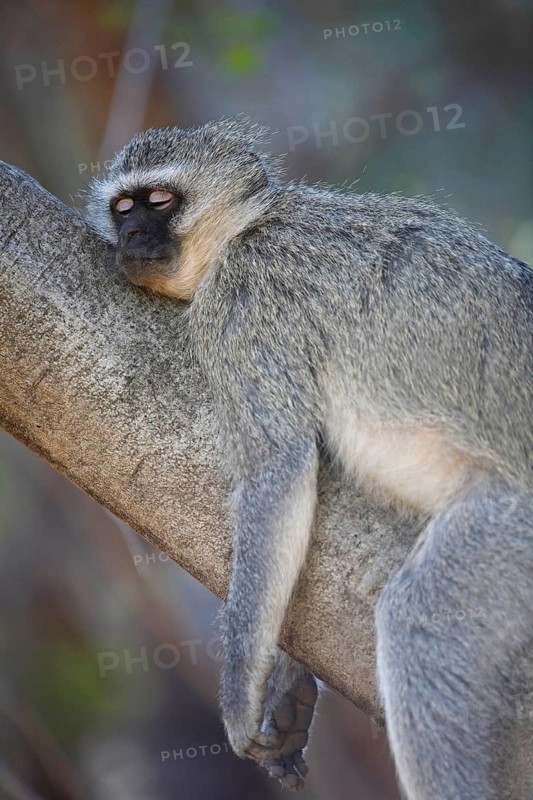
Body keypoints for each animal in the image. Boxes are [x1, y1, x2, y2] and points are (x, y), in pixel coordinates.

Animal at [87, 119, 533, 798]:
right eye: (122, 208)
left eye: (158, 201)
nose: (131, 236)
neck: (249, 225)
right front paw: (291, 683)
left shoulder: (246, 301)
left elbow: (280, 470)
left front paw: (240, 696)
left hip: (516, 526)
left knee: (422, 629)